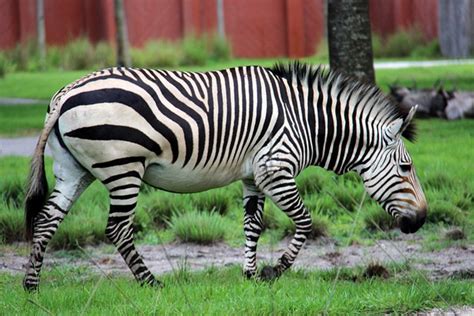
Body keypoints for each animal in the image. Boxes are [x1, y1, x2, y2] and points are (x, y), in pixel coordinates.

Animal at [23, 62, 430, 292]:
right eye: (406, 168)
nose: (422, 219)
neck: (308, 123)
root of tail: (66, 93)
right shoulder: (275, 168)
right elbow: (305, 222)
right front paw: (275, 271)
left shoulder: (254, 176)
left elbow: (253, 226)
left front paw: (251, 276)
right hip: (124, 168)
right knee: (118, 229)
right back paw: (151, 283)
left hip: (73, 170)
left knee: (45, 221)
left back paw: (31, 287)